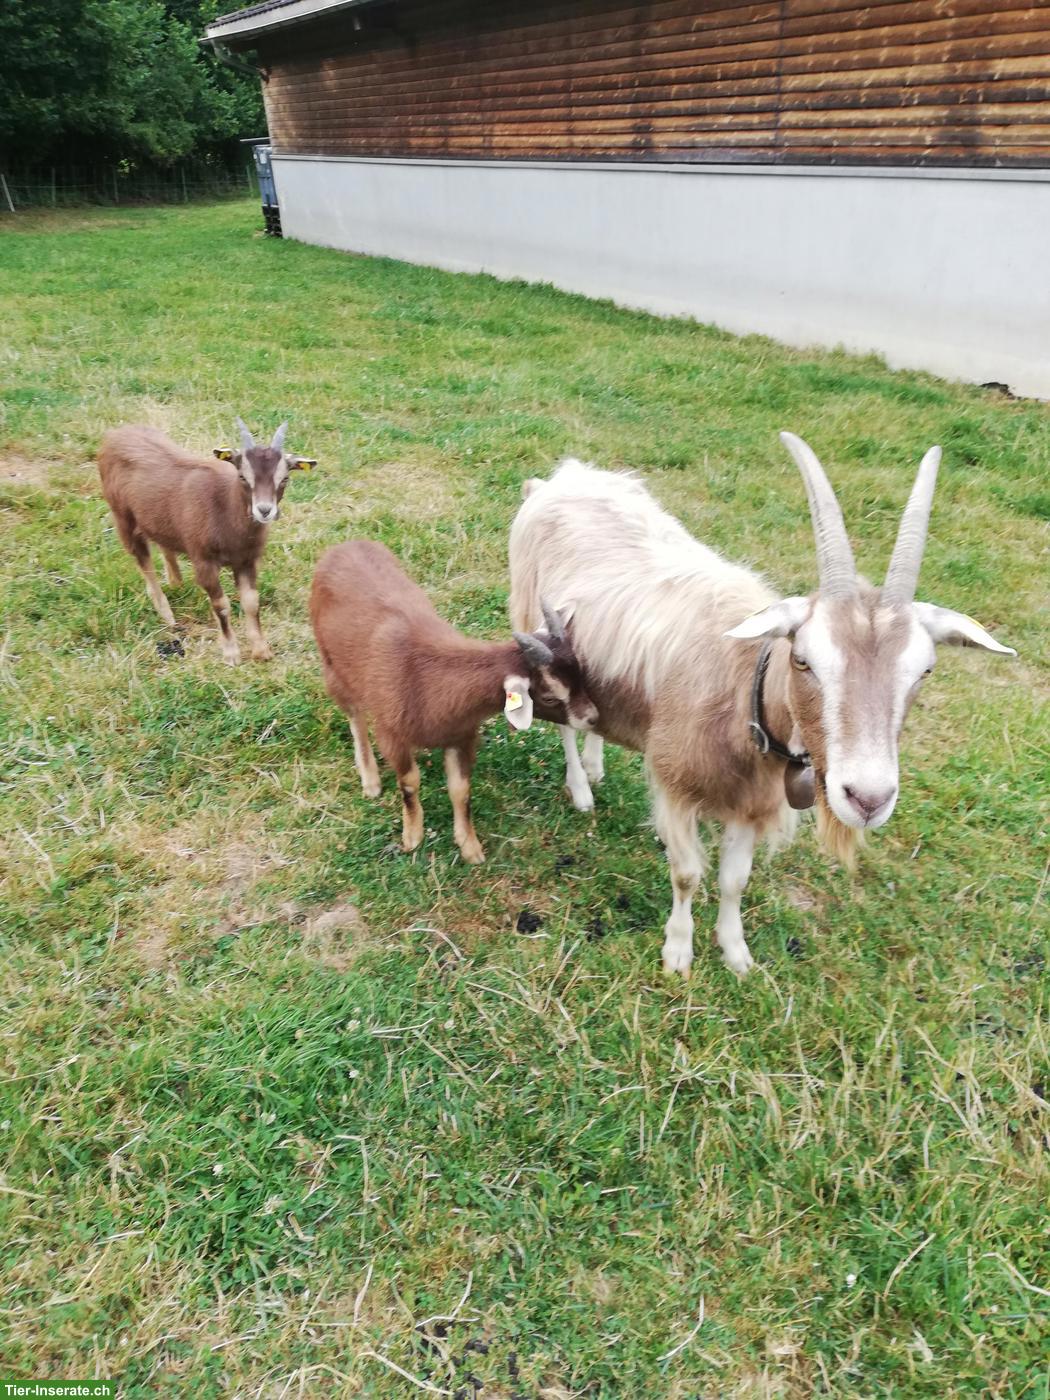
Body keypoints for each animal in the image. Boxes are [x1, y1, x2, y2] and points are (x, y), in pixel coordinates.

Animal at [97, 419, 315, 663]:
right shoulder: (204, 561)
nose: (265, 510)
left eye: (284, 478)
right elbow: (221, 605)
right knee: (144, 562)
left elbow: (251, 602)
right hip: (122, 517)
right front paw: (231, 654)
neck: (226, 511)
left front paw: (262, 651)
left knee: (164, 543)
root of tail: (114, 435)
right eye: (242, 476)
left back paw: (176, 581)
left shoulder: (247, 560)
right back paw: (168, 616)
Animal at [310, 539, 597, 864]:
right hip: (332, 666)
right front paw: (412, 837)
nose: (592, 717)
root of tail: (344, 545)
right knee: (355, 717)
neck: (428, 680)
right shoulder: (392, 735)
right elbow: (409, 782)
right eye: (549, 695)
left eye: (581, 674)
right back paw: (370, 779)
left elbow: (461, 790)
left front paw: (470, 847)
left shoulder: (461, 737)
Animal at [509, 438, 1015, 976]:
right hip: (538, 633)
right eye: (803, 659)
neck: (742, 686)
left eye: (925, 670)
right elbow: (687, 874)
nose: (868, 799)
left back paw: (595, 764)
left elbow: (735, 881)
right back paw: (581, 789)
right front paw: (678, 953)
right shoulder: (676, 786)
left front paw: (736, 953)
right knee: (564, 720)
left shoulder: (752, 804)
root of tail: (561, 478)